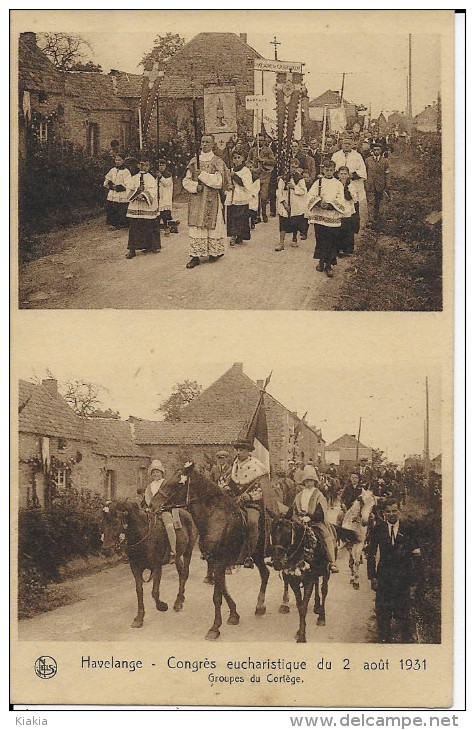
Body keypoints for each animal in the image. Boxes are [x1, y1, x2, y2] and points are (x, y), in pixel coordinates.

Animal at [161, 460, 270, 636]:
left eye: (178, 483)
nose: (152, 504)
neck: (214, 519)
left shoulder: (219, 561)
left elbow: (217, 596)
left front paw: (214, 628)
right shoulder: (215, 561)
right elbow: (222, 588)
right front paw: (234, 615)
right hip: (258, 556)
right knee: (265, 574)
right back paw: (260, 606)